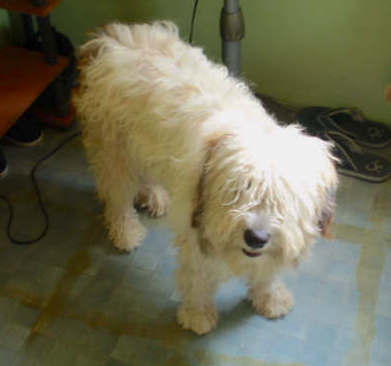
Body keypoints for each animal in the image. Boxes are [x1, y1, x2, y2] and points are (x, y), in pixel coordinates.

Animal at [74, 20, 340, 334]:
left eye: (284, 201)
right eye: (238, 191)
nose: (256, 238)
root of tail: (108, 39)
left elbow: (266, 271)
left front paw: (269, 297)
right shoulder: (198, 229)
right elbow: (198, 278)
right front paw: (198, 314)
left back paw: (155, 195)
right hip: (115, 151)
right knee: (117, 197)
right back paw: (126, 232)